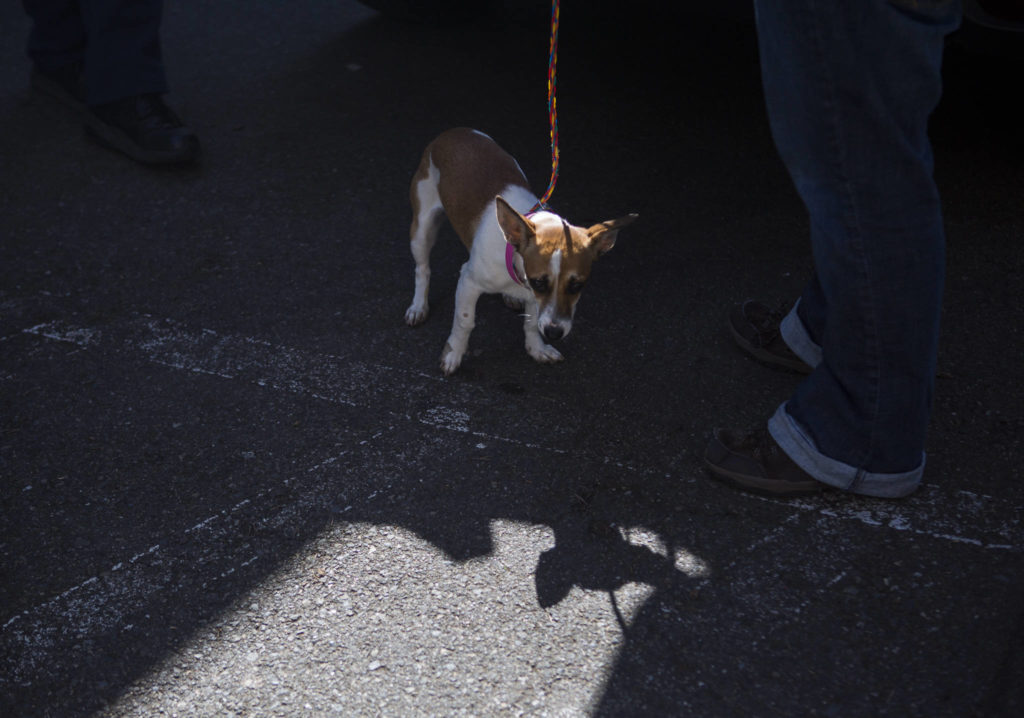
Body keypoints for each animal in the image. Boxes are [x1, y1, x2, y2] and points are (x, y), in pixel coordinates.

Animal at [403, 129, 634, 374]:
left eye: (577, 285)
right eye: (539, 282)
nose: (554, 333)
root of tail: (453, 132)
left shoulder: (534, 297)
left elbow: (532, 323)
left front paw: (537, 348)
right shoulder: (469, 281)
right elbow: (465, 321)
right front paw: (453, 354)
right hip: (422, 228)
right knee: (422, 269)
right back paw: (418, 306)